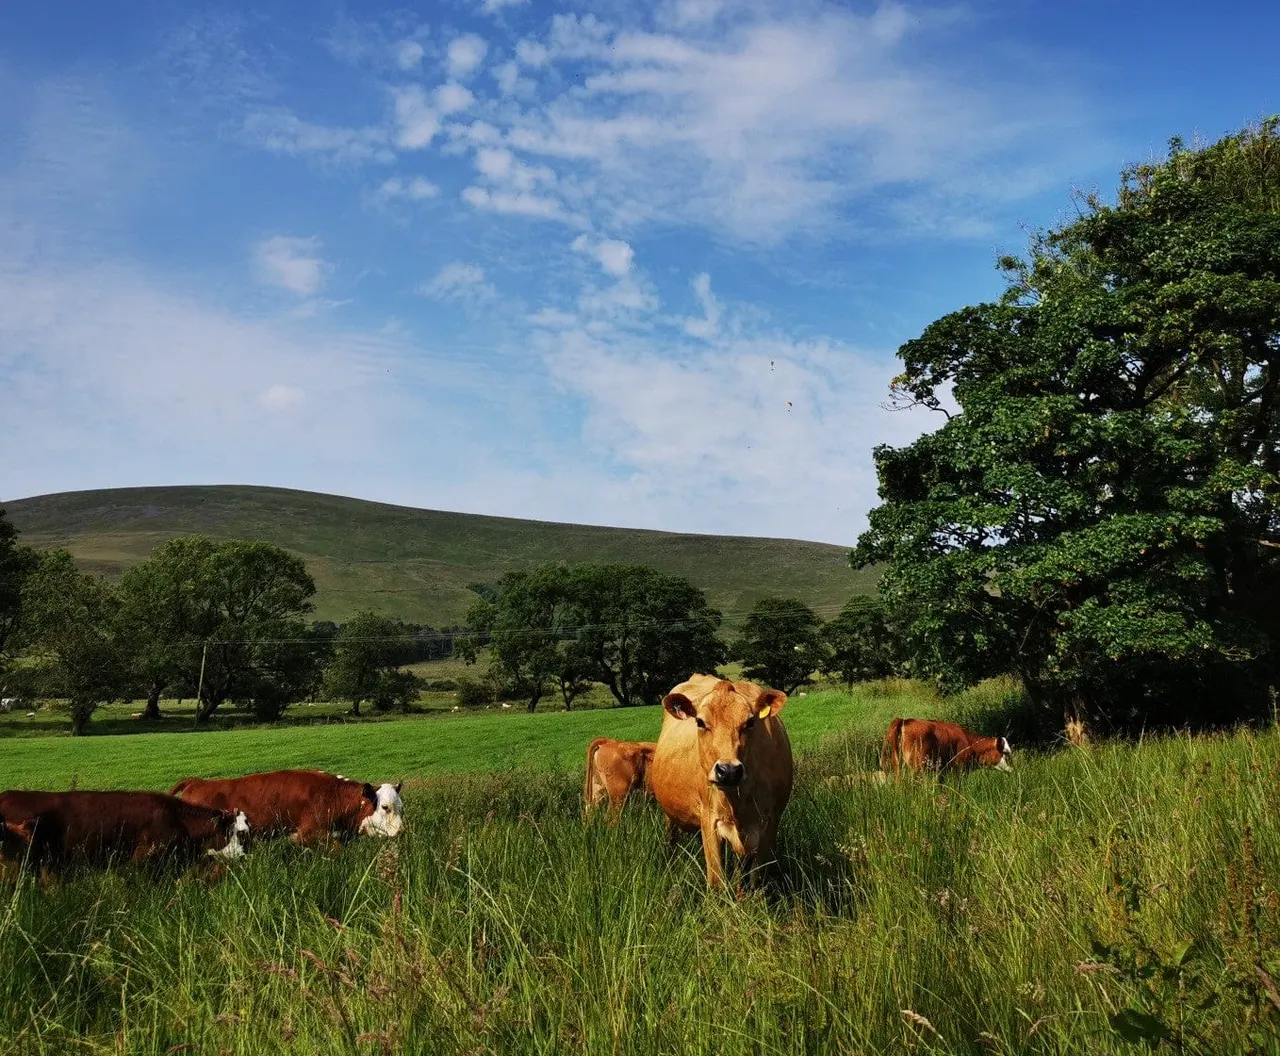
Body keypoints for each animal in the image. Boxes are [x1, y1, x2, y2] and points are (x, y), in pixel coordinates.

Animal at [170, 769, 403, 846]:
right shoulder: (309, 833)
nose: (401, 832)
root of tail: (197, 782)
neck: (332, 795)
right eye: (385, 807)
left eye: (401, 807)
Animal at [649, 674, 793, 889]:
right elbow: (716, 880)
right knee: (670, 840)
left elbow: (758, 878)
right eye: (700, 722)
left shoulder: (771, 820)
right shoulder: (709, 818)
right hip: (670, 816)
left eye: (750, 722)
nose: (729, 771)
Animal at [880, 718, 1012, 777]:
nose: (1011, 769)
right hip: (917, 768)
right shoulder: (959, 770)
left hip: (897, 766)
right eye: (1005, 752)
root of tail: (905, 720)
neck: (968, 742)